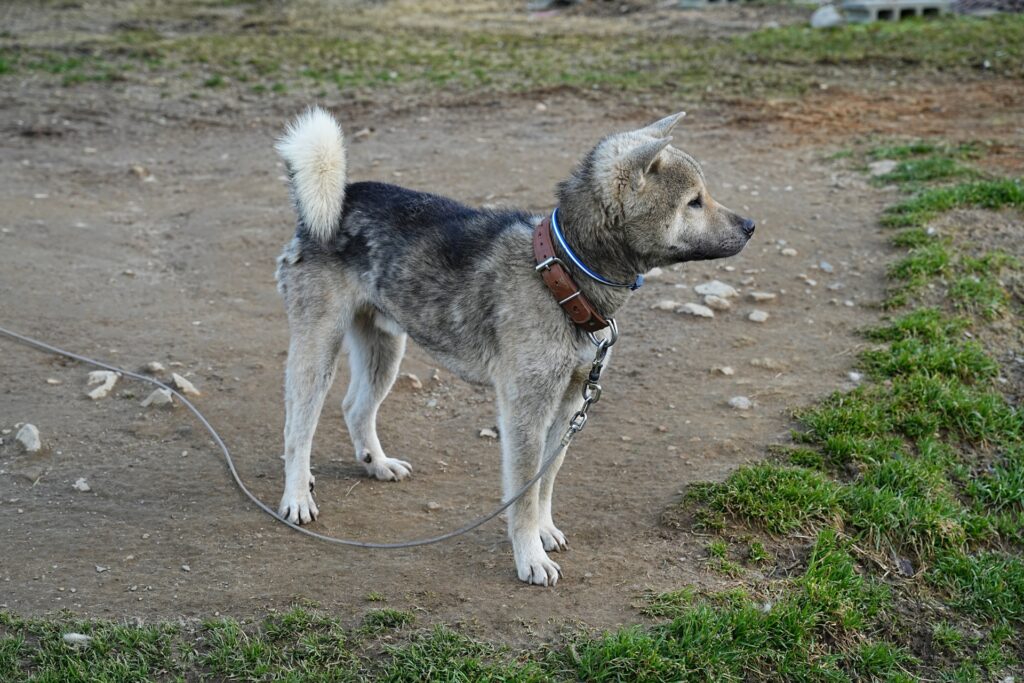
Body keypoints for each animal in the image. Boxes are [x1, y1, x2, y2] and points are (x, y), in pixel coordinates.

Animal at [272, 108, 753, 589]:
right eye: (694, 201)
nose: (751, 226)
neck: (562, 274)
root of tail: (342, 198)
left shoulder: (570, 403)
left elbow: (545, 483)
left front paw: (544, 532)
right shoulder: (526, 412)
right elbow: (523, 496)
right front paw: (530, 557)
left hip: (385, 350)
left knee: (355, 408)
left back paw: (377, 463)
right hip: (317, 351)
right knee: (297, 430)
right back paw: (297, 496)